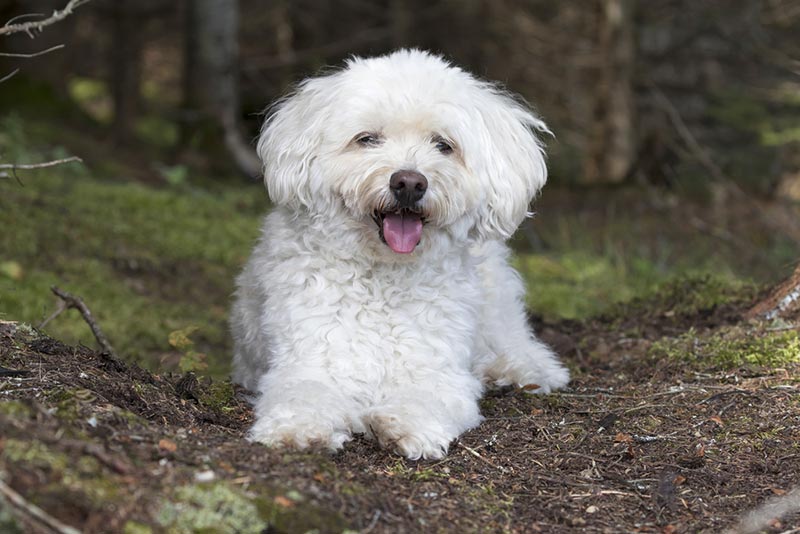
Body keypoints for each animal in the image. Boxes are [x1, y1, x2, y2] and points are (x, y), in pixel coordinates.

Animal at [230, 48, 568, 462]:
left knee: (516, 344)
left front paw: (405, 424)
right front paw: (297, 429)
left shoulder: (438, 372)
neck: (384, 277)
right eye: (367, 139)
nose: (409, 182)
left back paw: (521, 370)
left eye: (443, 144)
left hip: (496, 309)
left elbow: (426, 396)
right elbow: (304, 395)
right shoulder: (308, 361)